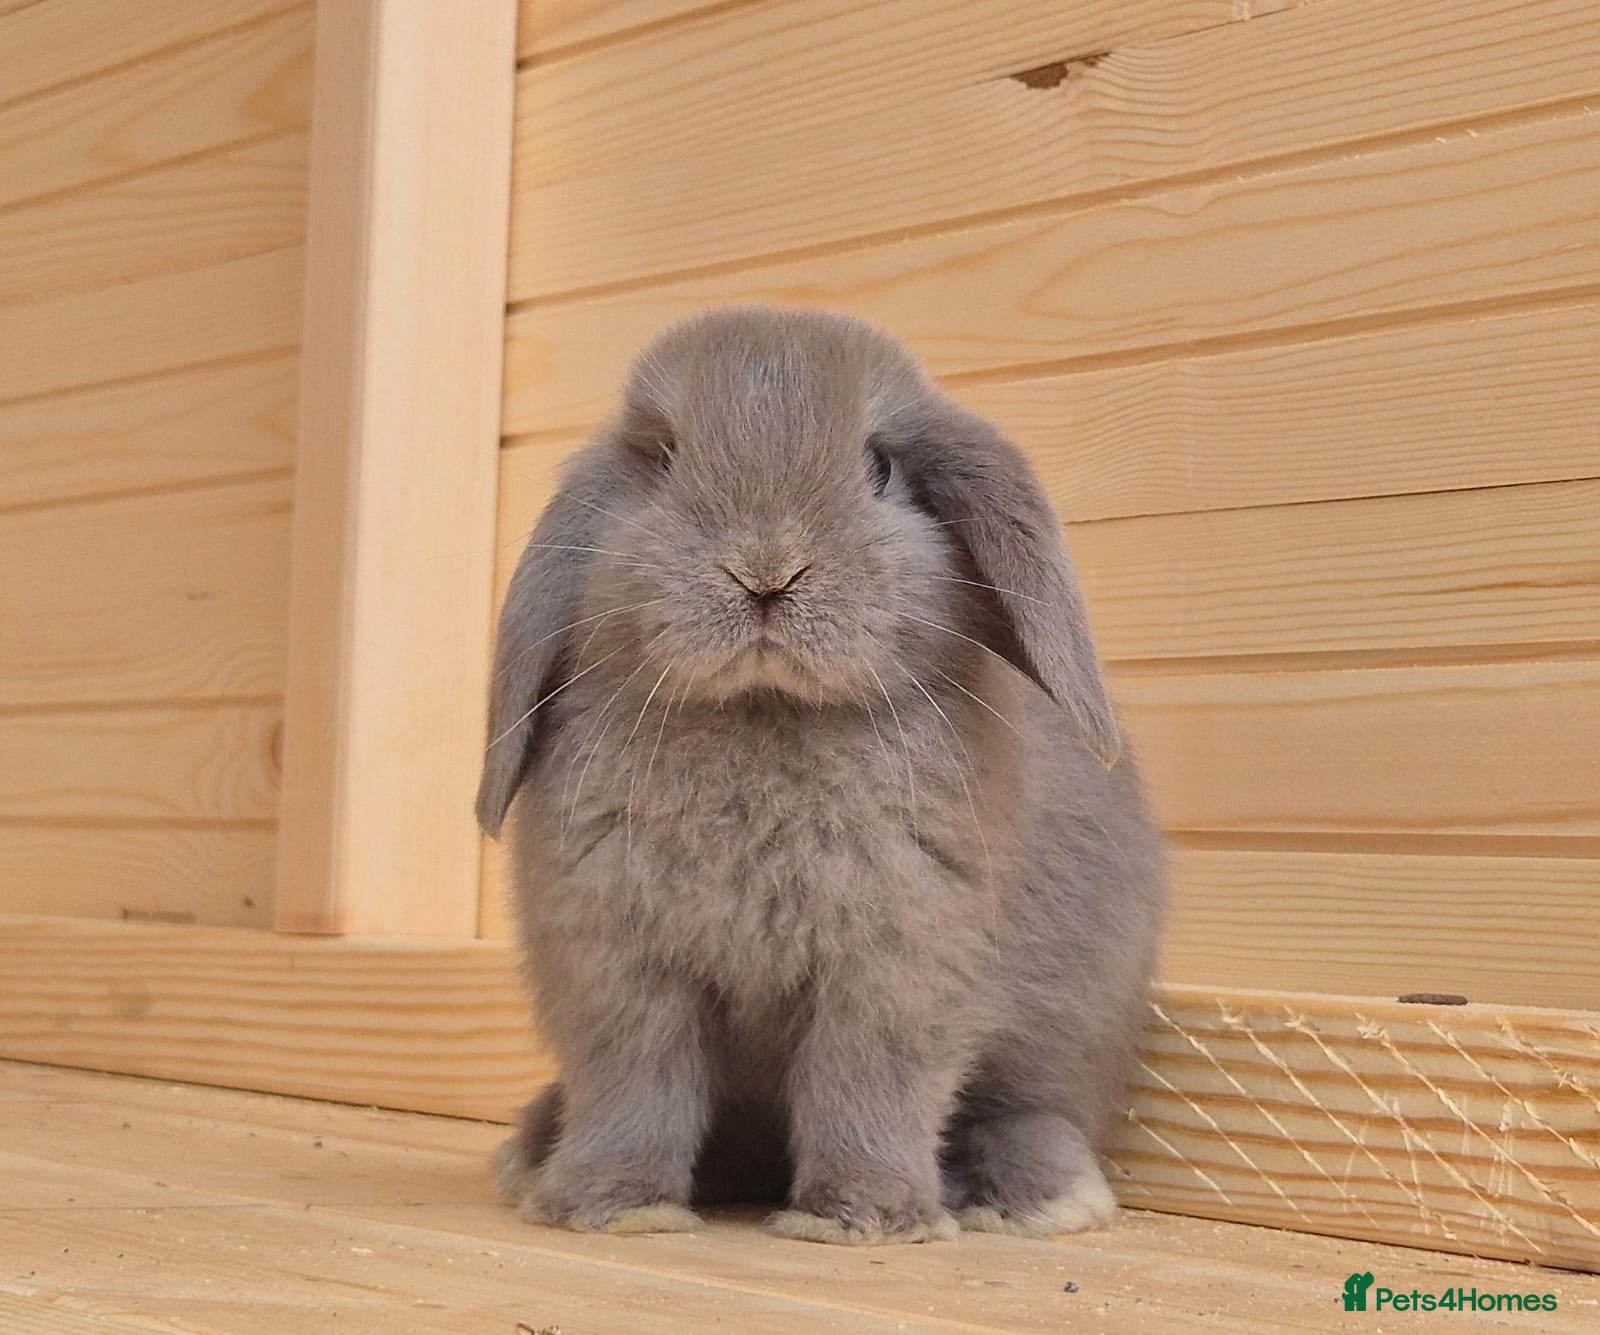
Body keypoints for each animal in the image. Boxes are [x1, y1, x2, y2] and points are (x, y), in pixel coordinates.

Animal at [479, 306, 1166, 1245]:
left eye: (879, 466)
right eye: (663, 458)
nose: (766, 570)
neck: (765, 710)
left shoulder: (898, 964)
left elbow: (869, 1080)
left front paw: (859, 1217)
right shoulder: (616, 963)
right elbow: (635, 1085)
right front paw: (613, 1204)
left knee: (1027, 1112)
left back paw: (1038, 1196)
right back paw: (534, 1149)